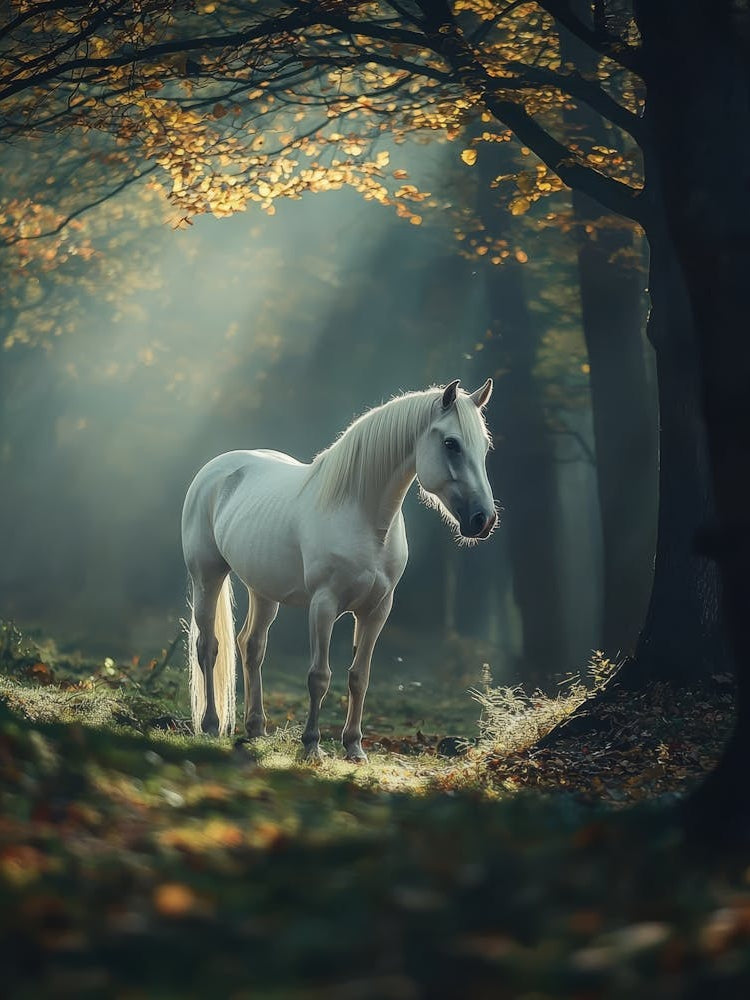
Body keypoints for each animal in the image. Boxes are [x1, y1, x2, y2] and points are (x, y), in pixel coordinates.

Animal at [181, 378, 497, 761]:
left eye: (484, 446)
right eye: (451, 444)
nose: (483, 519)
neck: (362, 516)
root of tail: (216, 468)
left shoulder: (377, 610)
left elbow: (359, 676)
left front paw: (354, 747)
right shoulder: (324, 605)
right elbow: (319, 676)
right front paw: (311, 747)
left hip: (264, 589)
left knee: (251, 646)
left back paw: (256, 729)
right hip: (207, 577)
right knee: (208, 646)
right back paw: (211, 725)